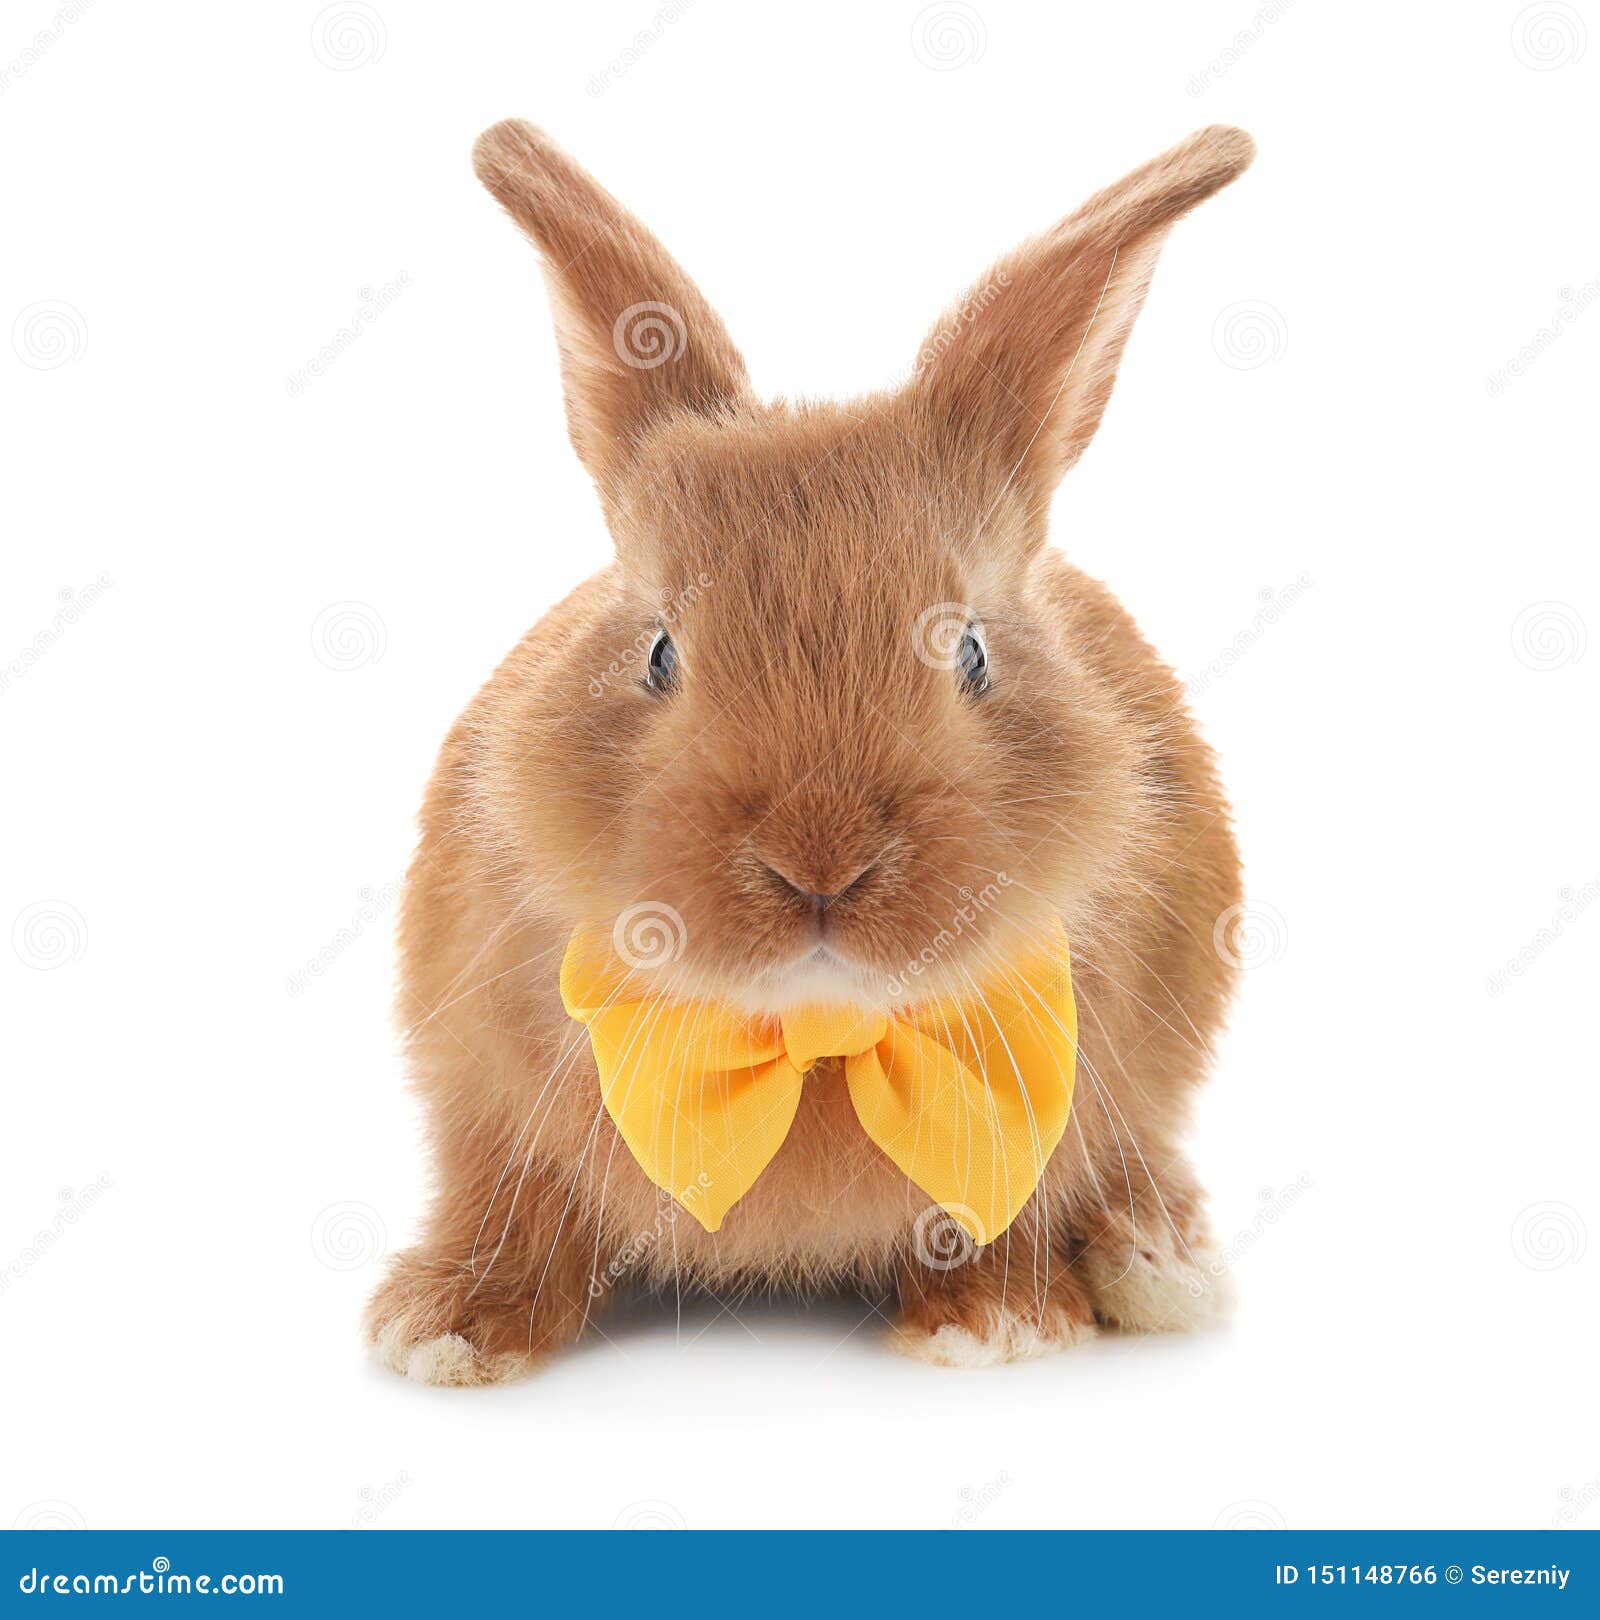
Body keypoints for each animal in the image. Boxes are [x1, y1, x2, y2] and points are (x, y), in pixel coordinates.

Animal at [366, 118, 1253, 1383]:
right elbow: (509, 1203)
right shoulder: (483, 1103)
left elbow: (1017, 1209)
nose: (819, 864)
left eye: (971, 653)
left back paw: (1156, 1258)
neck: (814, 1036)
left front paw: (998, 1323)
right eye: (659, 653)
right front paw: (445, 1329)